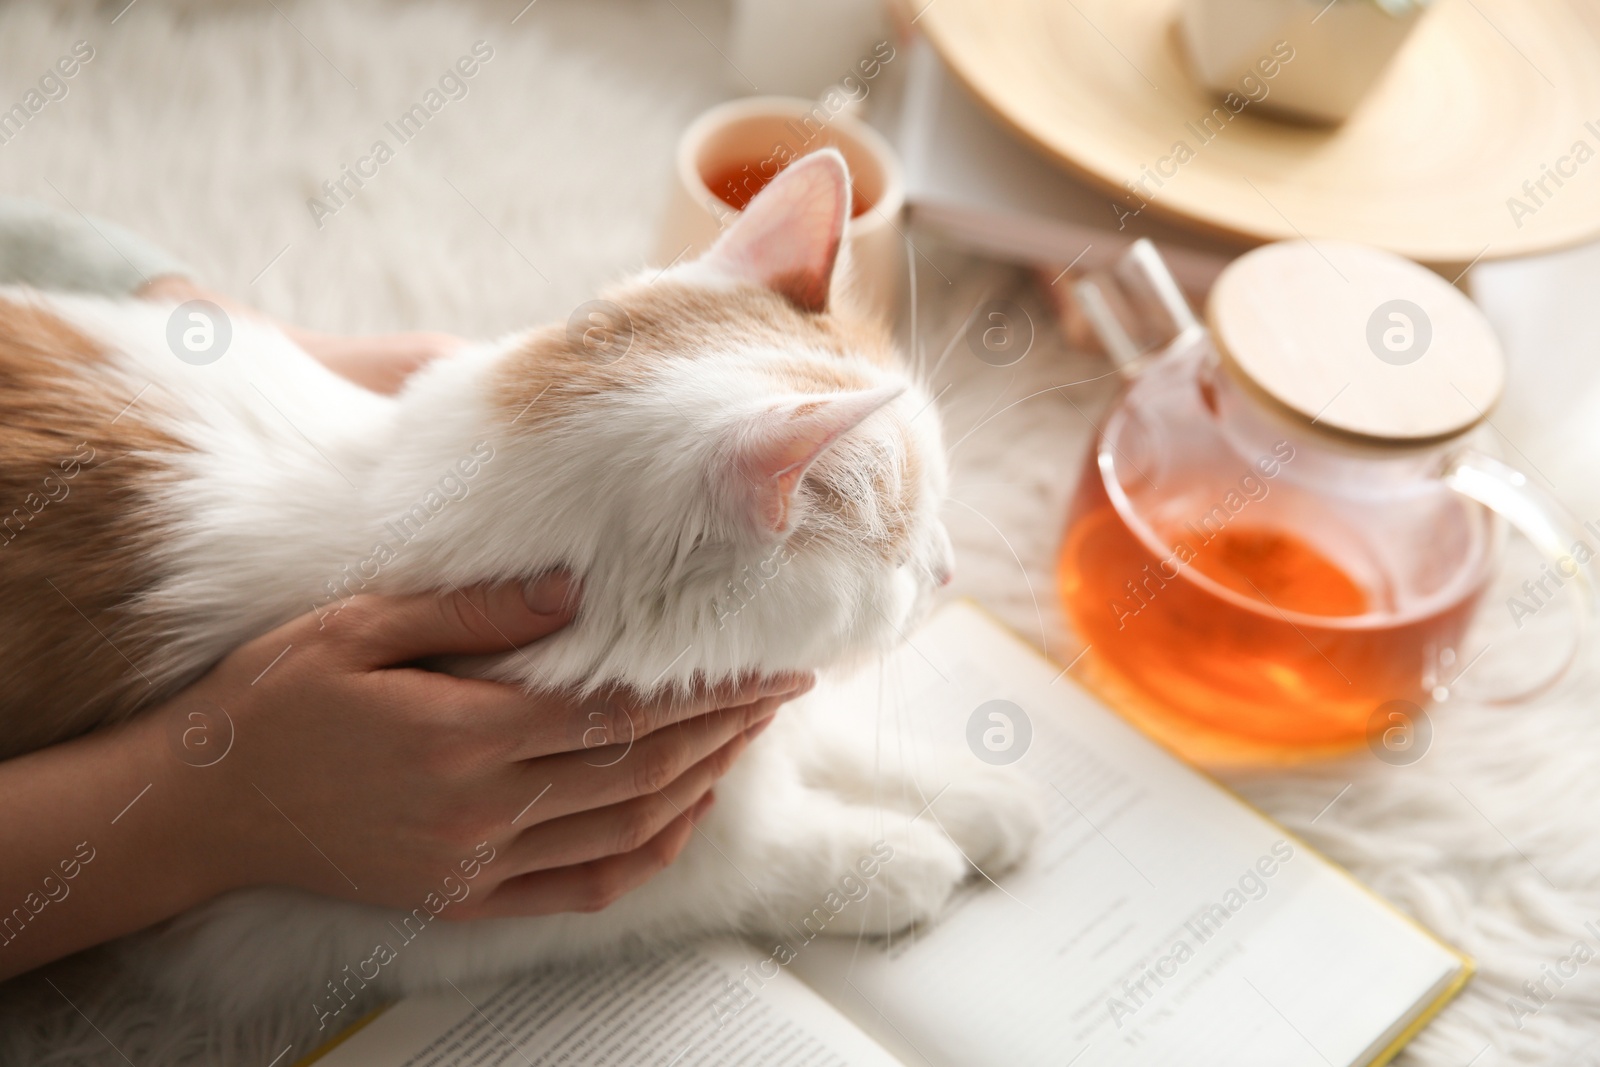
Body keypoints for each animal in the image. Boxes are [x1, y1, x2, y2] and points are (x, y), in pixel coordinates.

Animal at [0, 150, 1036, 1017]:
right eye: (902, 550)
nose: (947, 568)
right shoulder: (286, 923)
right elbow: (704, 869)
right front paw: (889, 860)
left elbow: (821, 734)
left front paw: (976, 795)